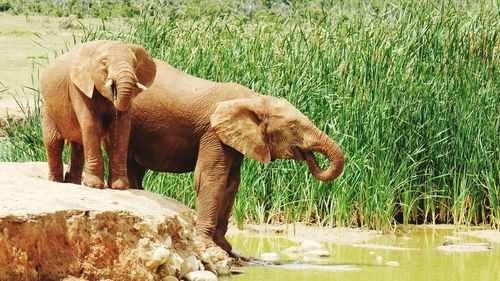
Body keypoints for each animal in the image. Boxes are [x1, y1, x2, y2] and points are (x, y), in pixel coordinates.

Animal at [40, 40, 156, 188]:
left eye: (134, 64)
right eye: (104, 62)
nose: (114, 91)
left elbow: (122, 128)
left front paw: (119, 187)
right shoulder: (78, 87)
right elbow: (91, 124)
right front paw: (94, 186)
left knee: (78, 146)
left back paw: (73, 182)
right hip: (48, 108)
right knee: (53, 142)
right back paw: (56, 181)